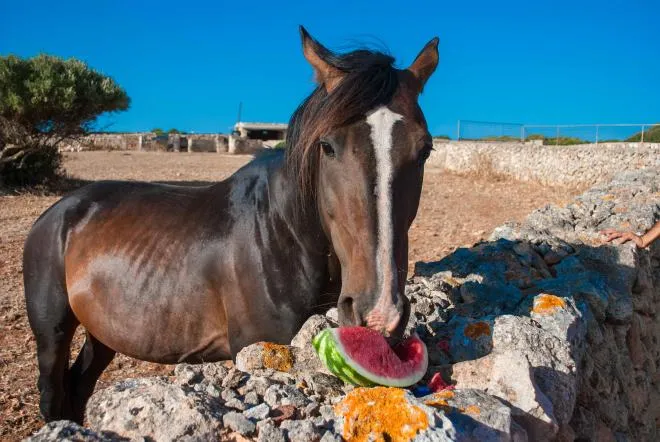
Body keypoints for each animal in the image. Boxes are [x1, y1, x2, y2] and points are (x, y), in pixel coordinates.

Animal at [24, 25, 438, 424]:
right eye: (327, 146)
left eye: (425, 150)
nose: (380, 314)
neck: (283, 233)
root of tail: (59, 212)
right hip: (52, 331)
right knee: (53, 392)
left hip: (104, 331)